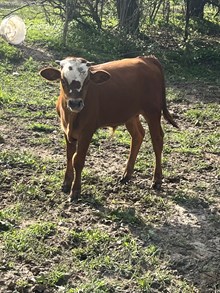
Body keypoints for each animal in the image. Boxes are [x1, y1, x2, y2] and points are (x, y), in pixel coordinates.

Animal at [40, 55, 178, 201]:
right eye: (63, 80)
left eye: (87, 81)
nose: (75, 103)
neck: (71, 118)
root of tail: (146, 59)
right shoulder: (66, 131)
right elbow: (68, 156)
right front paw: (66, 183)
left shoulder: (87, 132)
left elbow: (77, 160)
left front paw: (75, 190)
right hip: (130, 114)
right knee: (138, 135)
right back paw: (126, 175)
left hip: (152, 112)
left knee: (157, 140)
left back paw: (157, 179)